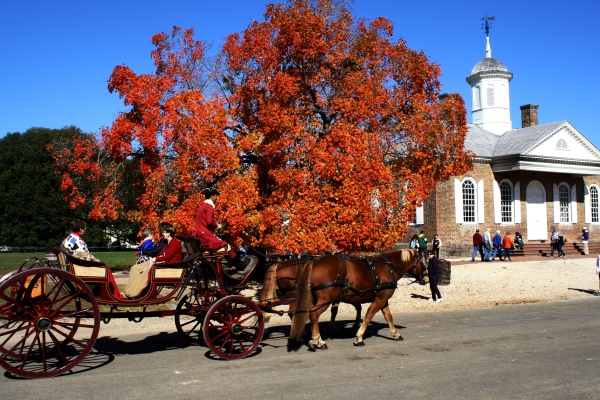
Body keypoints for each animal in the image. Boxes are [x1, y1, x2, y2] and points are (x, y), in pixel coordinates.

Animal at [288, 250, 420, 350]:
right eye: (422, 260)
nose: (424, 278)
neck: (388, 268)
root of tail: (314, 262)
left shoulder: (383, 300)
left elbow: (388, 317)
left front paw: (395, 333)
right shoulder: (380, 299)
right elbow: (368, 316)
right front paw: (359, 337)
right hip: (325, 299)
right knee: (313, 315)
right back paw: (317, 340)